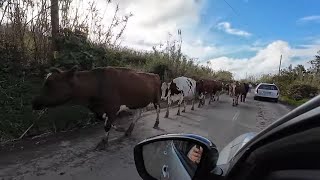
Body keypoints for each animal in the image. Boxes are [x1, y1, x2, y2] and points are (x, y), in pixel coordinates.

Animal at [32, 66, 161, 149]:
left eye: (49, 83)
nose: (34, 102)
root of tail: (153, 74)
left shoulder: (112, 107)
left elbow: (107, 125)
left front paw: (104, 142)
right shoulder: (100, 109)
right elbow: (105, 121)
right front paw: (119, 129)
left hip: (156, 99)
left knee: (158, 110)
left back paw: (156, 123)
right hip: (138, 101)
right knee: (138, 114)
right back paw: (129, 131)